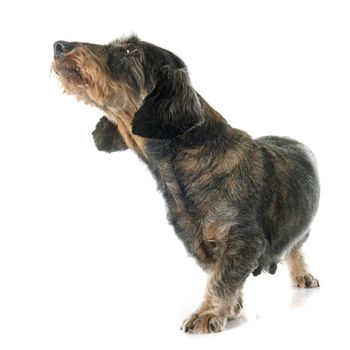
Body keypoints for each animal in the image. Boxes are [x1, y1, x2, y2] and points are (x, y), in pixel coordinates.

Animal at [52, 34, 320, 334]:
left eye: (131, 49)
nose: (59, 45)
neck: (191, 163)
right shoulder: (198, 242)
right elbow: (218, 274)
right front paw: (231, 307)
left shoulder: (243, 238)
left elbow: (222, 278)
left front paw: (208, 313)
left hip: (301, 230)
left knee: (295, 249)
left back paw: (303, 275)